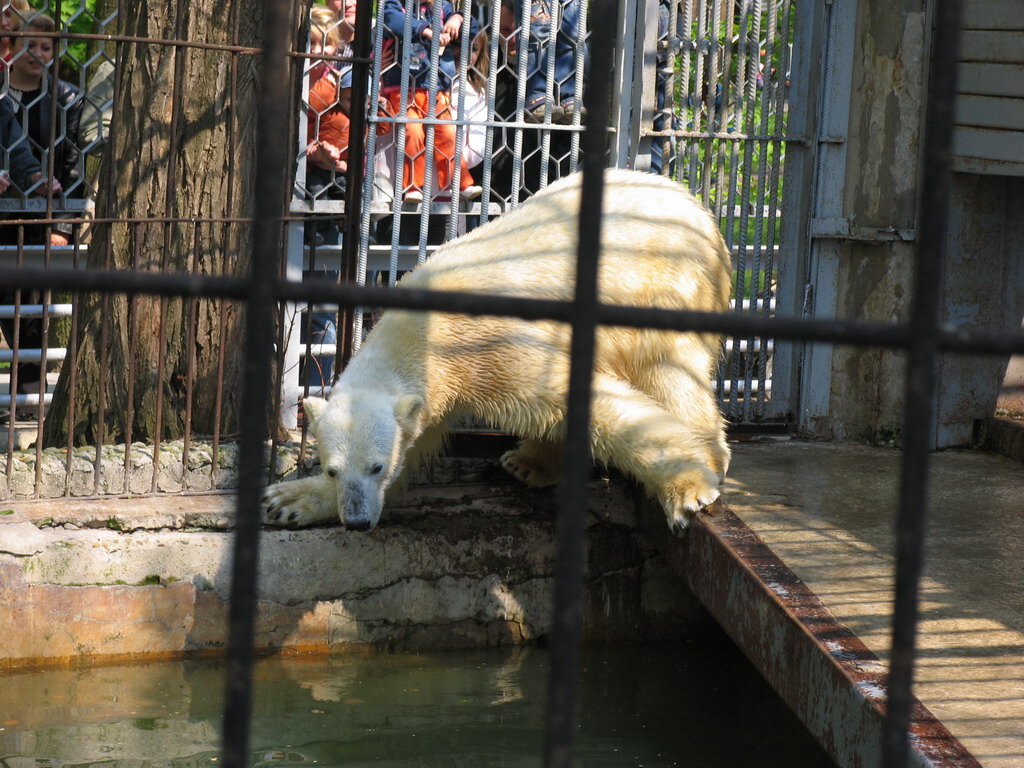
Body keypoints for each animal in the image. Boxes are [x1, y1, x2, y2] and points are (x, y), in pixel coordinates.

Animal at [264, 167, 729, 532]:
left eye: (375, 465)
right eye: (333, 469)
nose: (358, 522)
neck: (426, 333)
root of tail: (692, 203)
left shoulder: (496, 347)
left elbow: (584, 400)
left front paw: (688, 491)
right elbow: (416, 439)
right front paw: (288, 500)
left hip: (668, 285)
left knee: (670, 369)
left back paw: (711, 457)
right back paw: (527, 463)